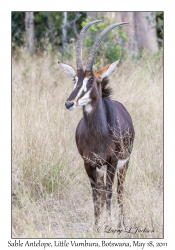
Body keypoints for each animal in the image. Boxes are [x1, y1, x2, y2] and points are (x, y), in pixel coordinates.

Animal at [58, 20, 135, 228]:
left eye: (91, 79)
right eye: (75, 79)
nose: (69, 103)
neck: (98, 134)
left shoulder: (112, 161)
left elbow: (109, 191)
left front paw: (108, 225)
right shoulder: (89, 163)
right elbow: (95, 194)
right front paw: (97, 226)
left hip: (123, 164)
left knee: (119, 191)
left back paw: (122, 223)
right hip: (100, 168)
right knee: (101, 192)